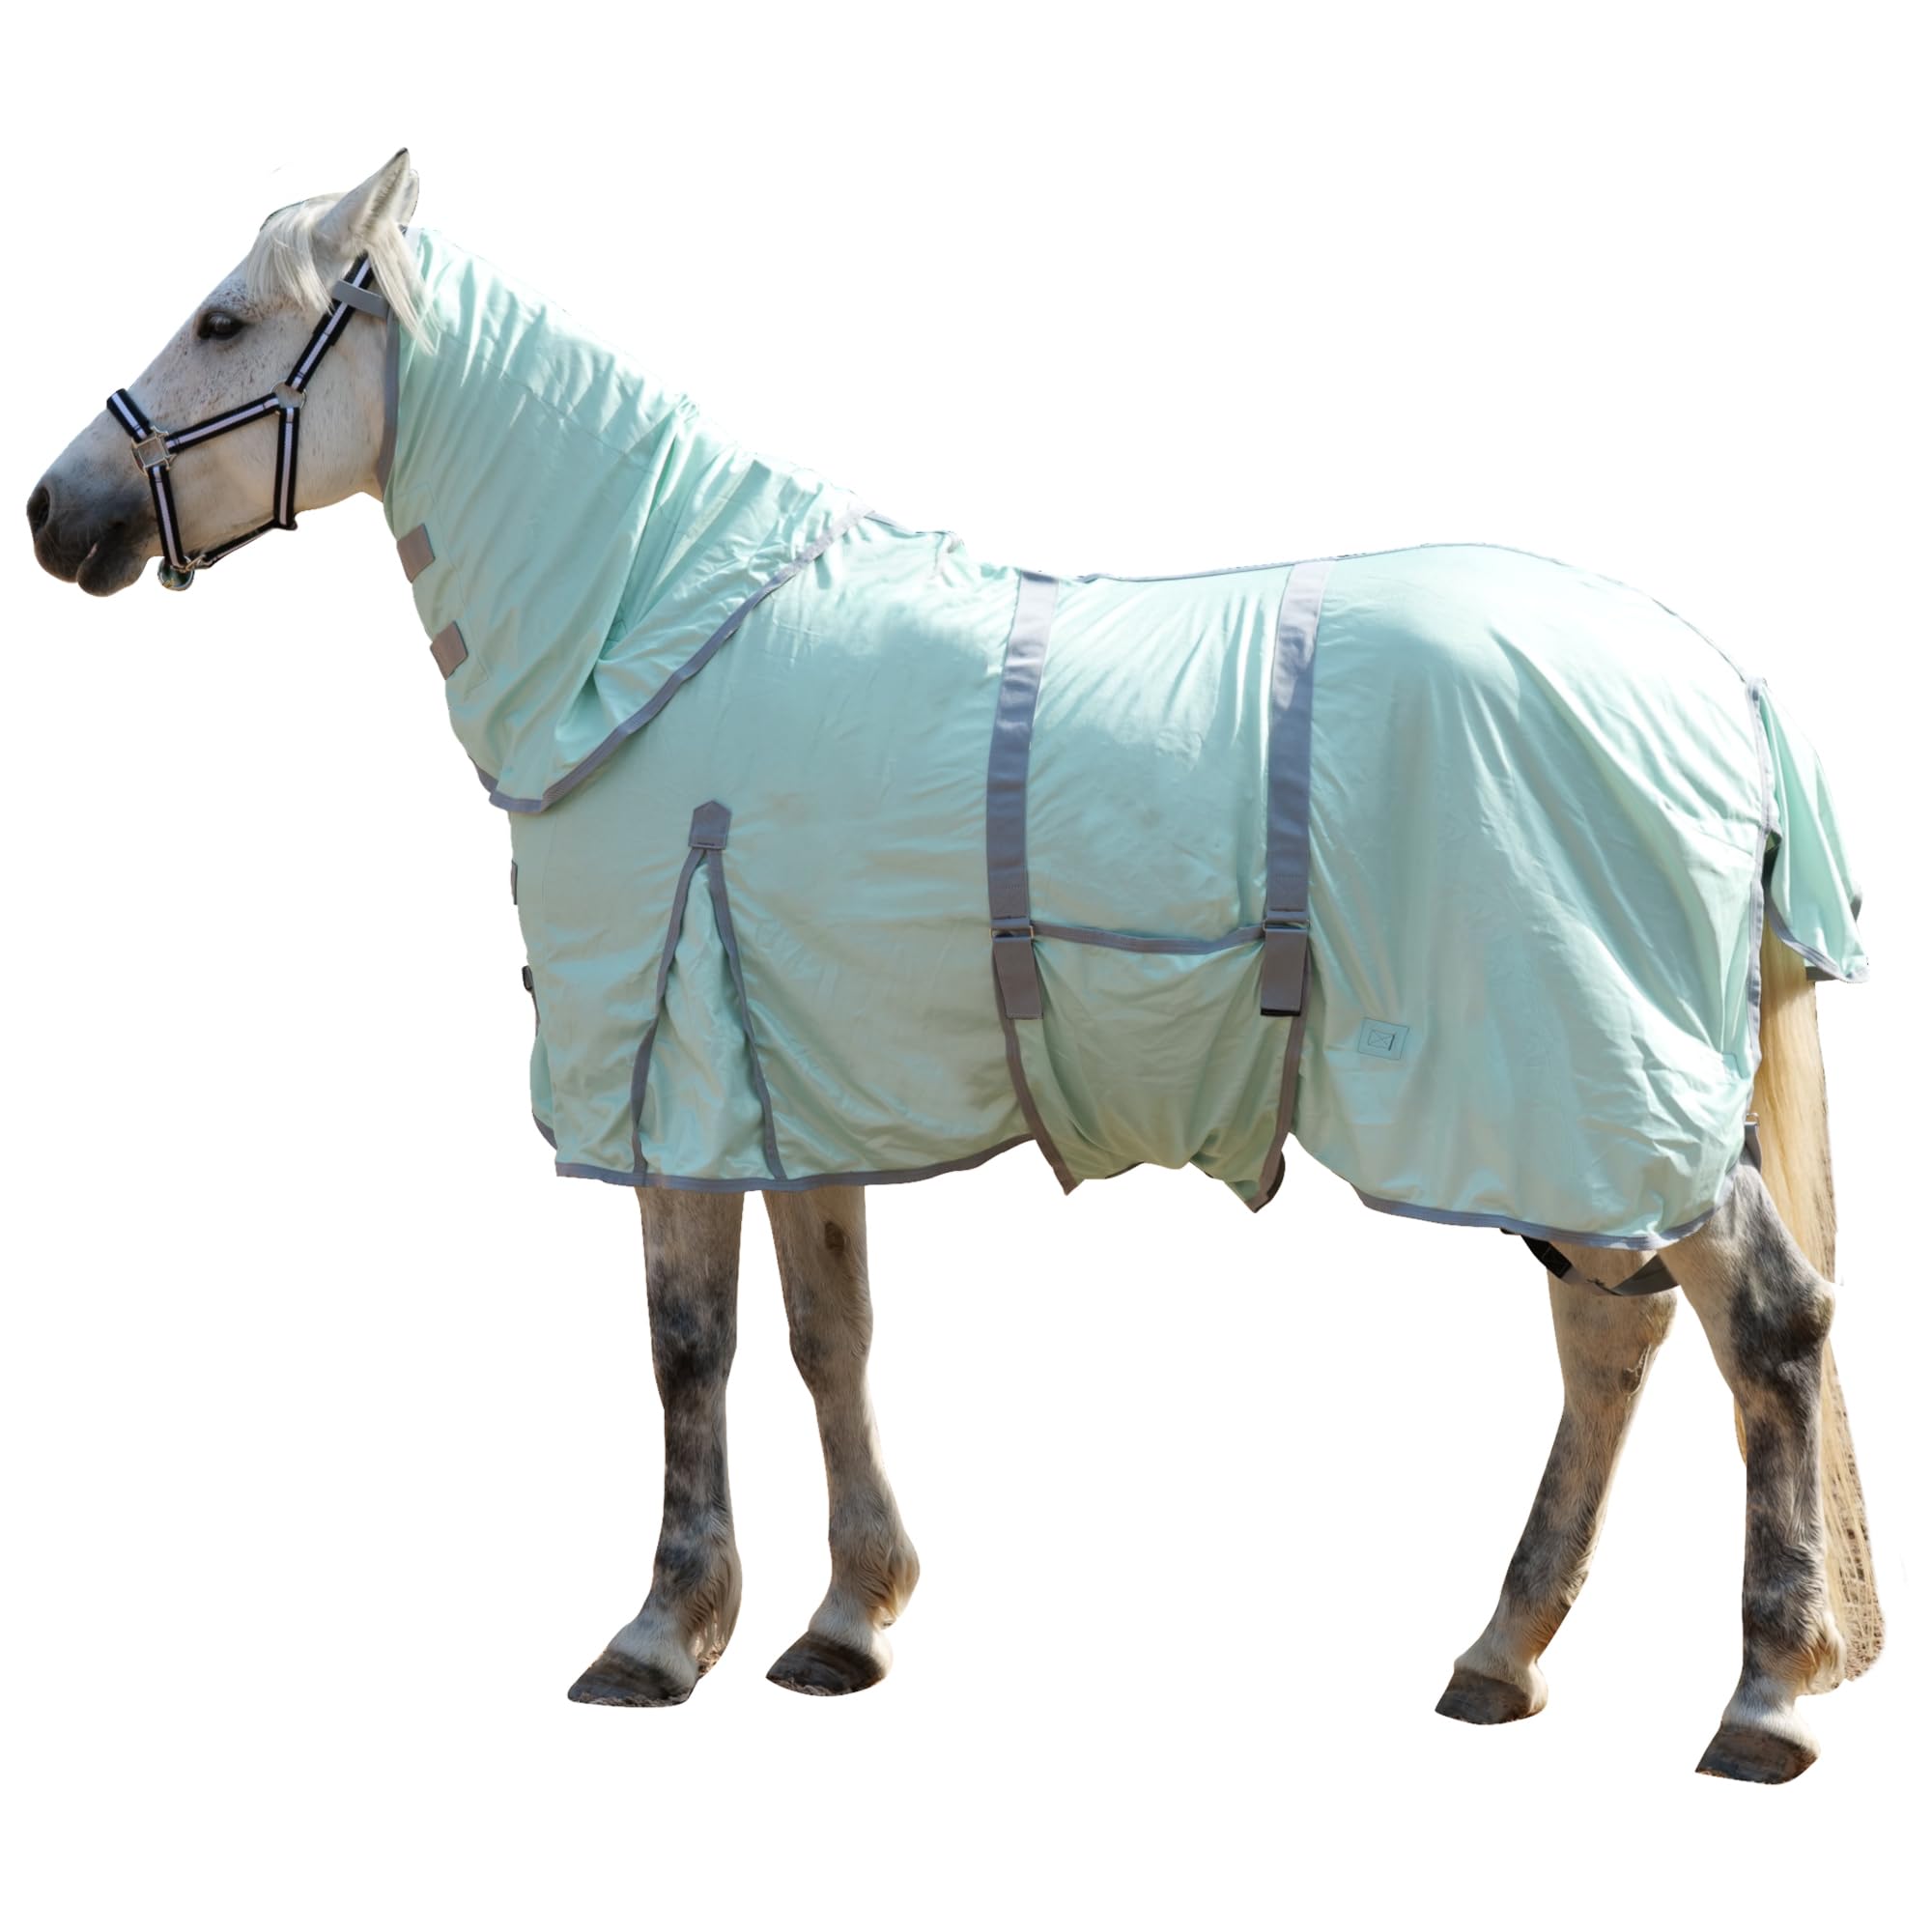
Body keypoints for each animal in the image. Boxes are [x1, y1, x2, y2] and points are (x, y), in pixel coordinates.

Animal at [25, 151, 1882, 1783]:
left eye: (221, 323)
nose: (57, 513)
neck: (660, 635)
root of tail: (1721, 686)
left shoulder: (672, 1082)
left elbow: (687, 1348)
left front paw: (660, 1634)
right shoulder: (787, 1080)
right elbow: (827, 1336)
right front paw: (846, 1622)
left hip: (1582, 1090)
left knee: (1766, 1331)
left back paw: (1762, 1699)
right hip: (1570, 1114)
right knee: (1611, 1339)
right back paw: (1502, 1657)